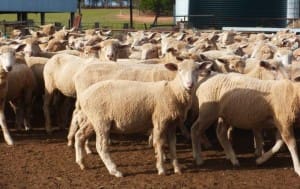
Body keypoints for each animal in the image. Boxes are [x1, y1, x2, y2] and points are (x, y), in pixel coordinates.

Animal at [73, 59, 209, 177]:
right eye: (179, 70)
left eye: (197, 69)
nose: (190, 85)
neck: (173, 91)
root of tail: (84, 95)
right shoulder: (160, 120)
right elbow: (159, 143)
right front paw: (161, 168)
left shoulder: (172, 123)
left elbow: (172, 145)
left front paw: (177, 168)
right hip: (101, 121)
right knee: (101, 146)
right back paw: (115, 170)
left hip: (93, 119)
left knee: (79, 135)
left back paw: (81, 162)